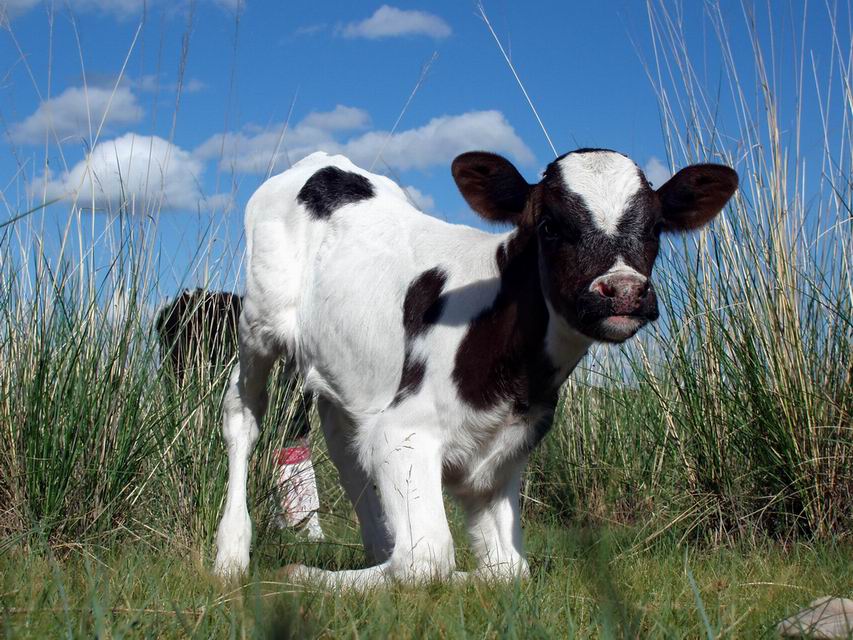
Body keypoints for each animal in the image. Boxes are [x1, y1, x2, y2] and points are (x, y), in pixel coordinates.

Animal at [215, 148, 740, 588]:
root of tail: (325, 163)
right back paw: (231, 555)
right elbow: (428, 560)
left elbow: (510, 570)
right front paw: (302, 574)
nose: (624, 290)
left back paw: (378, 547)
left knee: (343, 445)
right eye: (549, 225)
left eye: (655, 227)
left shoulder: (502, 453)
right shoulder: (404, 431)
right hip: (258, 324)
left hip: (345, 369)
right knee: (243, 413)